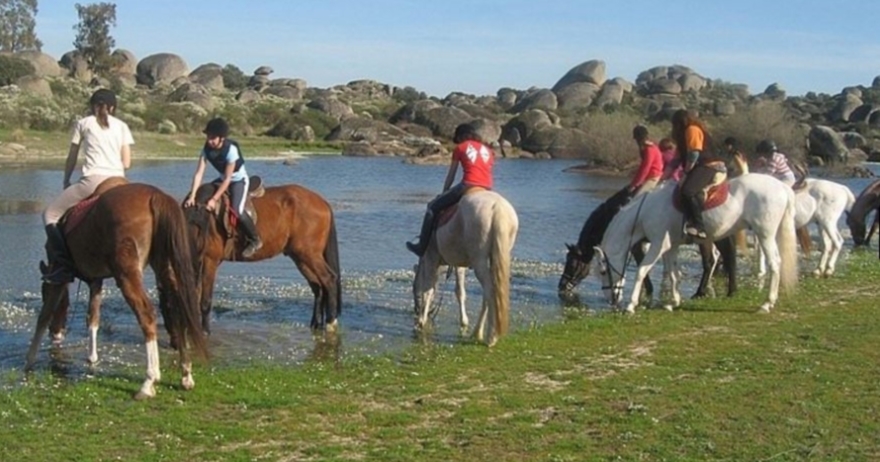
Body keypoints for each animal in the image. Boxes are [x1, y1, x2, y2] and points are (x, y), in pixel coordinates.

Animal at [25, 182, 208, 398]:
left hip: (127, 274)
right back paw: (186, 375)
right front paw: (92, 357)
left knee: (146, 315)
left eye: (43, 290)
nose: (55, 334)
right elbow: (93, 318)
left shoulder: (59, 280)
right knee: (177, 311)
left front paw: (29, 361)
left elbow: (44, 316)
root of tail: (155, 195)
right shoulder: (95, 281)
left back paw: (149, 381)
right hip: (164, 267)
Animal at [182, 183, 340, 332]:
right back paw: (315, 324)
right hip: (300, 258)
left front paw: (204, 331)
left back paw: (331, 323)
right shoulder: (199, 262)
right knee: (318, 287)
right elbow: (195, 294)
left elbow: (205, 300)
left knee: (329, 279)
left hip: (310, 255)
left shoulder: (210, 260)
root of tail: (322, 202)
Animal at [410, 189, 516, 346]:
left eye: (413, 288)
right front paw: (464, 321)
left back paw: (489, 336)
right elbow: (460, 292)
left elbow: (428, 290)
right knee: (489, 292)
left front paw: (421, 322)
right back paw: (478, 332)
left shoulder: (431, 259)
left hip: (479, 261)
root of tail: (498, 209)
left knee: (489, 290)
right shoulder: (459, 265)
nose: (416, 310)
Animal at [556, 186, 736, 302]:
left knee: (712, 260)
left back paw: (702, 292)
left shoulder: (636, 244)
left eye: (572, 264)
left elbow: (641, 264)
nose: (561, 286)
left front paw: (647, 290)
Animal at [592, 173, 796, 314]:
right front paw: (674, 302)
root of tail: (782, 187)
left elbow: (642, 270)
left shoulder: (658, 245)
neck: (646, 210)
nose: (610, 300)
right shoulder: (671, 246)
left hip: (765, 234)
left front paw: (631, 305)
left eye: (603, 271)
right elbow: (673, 273)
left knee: (774, 263)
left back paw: (766, 304)